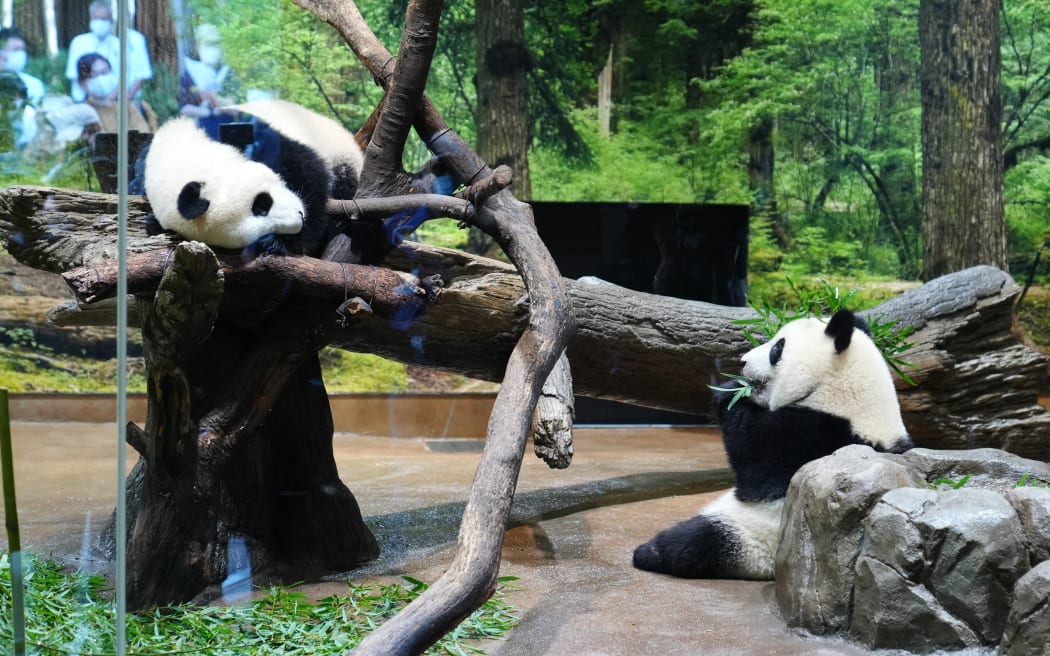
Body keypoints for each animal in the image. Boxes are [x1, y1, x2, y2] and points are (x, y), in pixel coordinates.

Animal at [632, 308, 913, 580]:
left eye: (777, 348)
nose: (743, 361)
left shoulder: (816, 436)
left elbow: (755, 460)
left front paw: (730, 393)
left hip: (754, 540)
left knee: (698, 541)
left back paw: (648, 552)